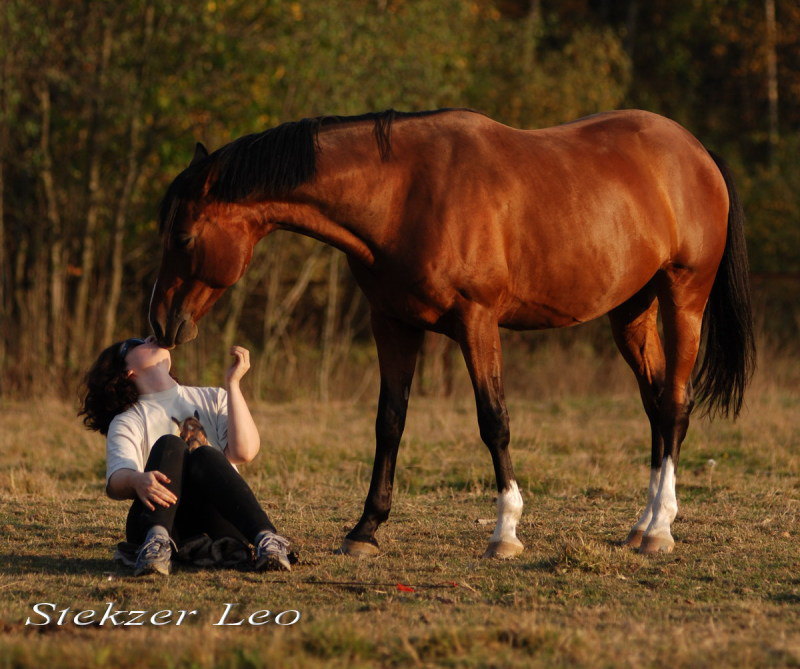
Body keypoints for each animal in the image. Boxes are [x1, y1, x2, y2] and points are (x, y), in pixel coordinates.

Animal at [147, 108, 752, 560]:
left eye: (183, 235)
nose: (160, 322)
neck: (405, 193)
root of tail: (696, 152)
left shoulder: (476, 321)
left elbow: (494, 421)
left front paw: (505, 532)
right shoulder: (393, 324)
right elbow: (389, 422)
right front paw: (365, 529)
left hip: (683, 299)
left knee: (674, 404)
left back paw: (660, 530)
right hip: (631, 312)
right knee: (656, 407)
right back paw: (642, 523)